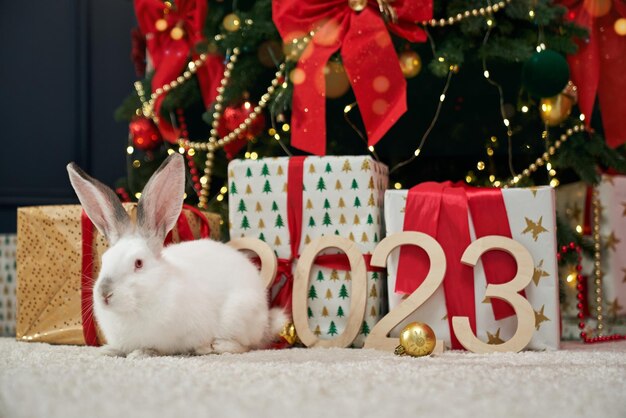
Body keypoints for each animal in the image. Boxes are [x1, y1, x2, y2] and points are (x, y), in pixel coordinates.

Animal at [66, 155, 286, 358]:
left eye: (139, 263)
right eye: (104, 260)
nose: (105, 294)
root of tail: (265, 317)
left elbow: (159, 348)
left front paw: (141, 353)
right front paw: (107, 351)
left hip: (238, 316)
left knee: (247, 345)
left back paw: (214, 346)